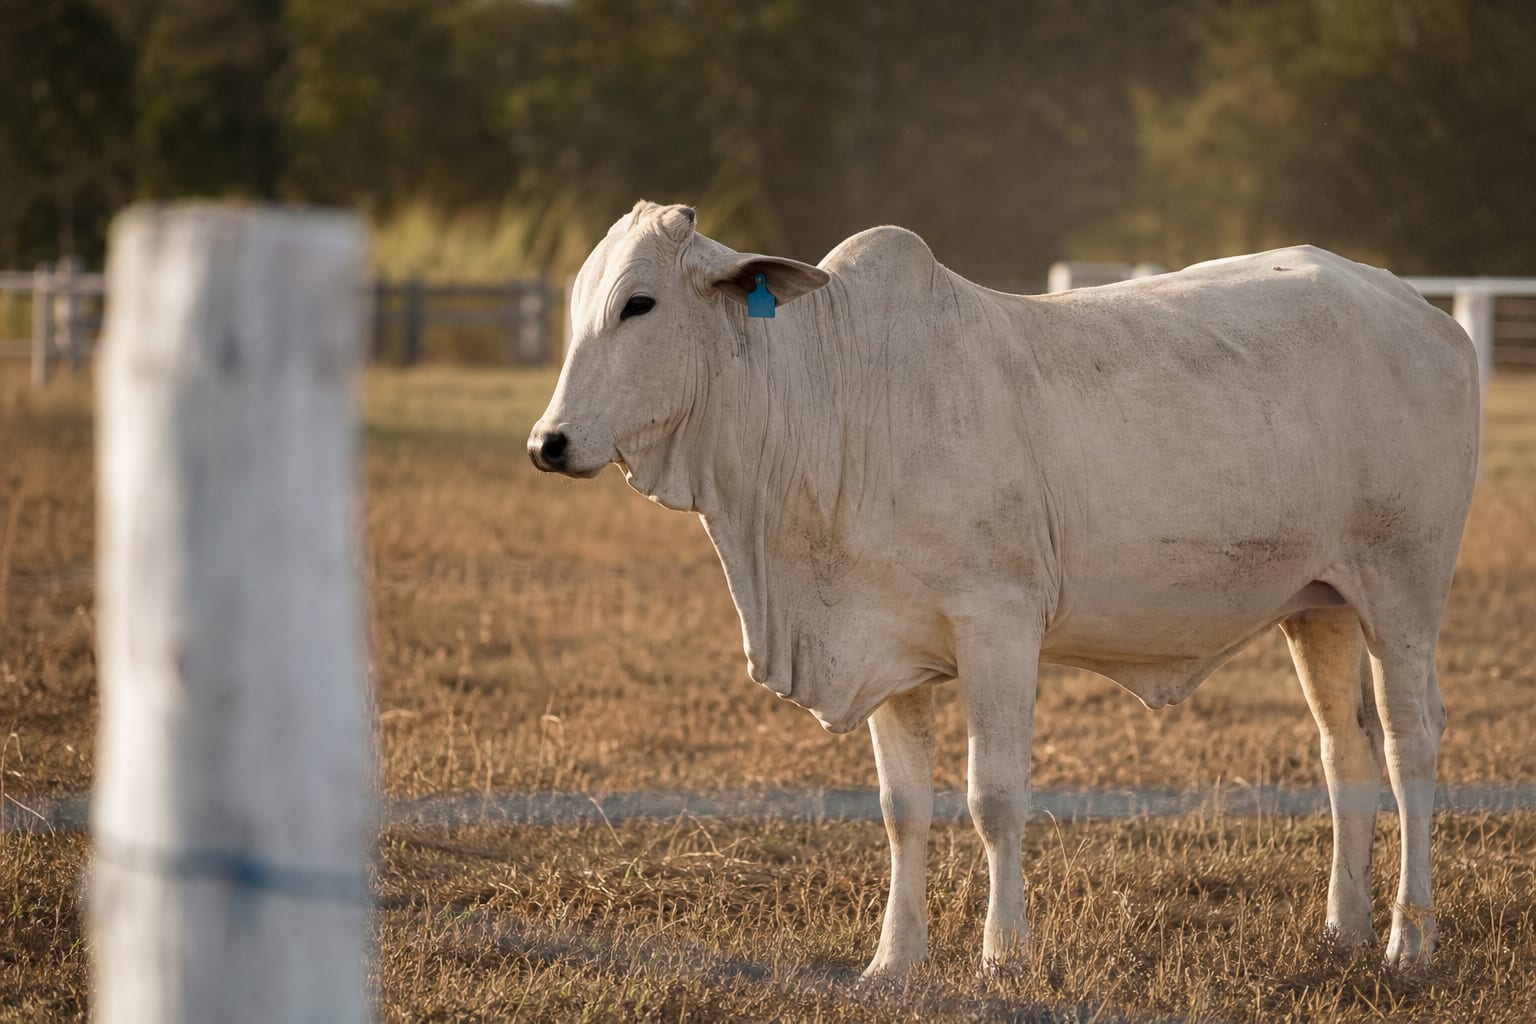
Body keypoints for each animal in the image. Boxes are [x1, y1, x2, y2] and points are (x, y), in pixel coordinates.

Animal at [528, 201, 1479, 978]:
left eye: (639, 304)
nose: (548, 442)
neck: (831, 400)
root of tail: (1431, 319)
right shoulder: (887, 648)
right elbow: (902, 809)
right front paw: (892, 961)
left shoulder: (999, 629)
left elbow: (994, 799)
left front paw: (1002, 954)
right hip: (1319, 606)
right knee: (1343, 751)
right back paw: (1342, 930)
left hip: (1403, 591)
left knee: (1410, 745)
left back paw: (1409, 939)